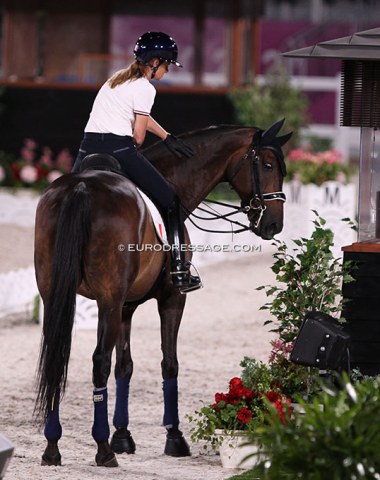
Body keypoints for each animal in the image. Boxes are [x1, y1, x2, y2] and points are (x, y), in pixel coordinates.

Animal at [34, 118, 292, 466]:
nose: (274, 224)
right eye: (266, 165)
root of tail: (81, 188)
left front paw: (122, 436)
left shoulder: (125, 307)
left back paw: (53, 447)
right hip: (107, 300)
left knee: (57, 355)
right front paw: (174, 437)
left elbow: (125, 366)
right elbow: (169, 363)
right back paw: (102, 450)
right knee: (98, 361)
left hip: (58, 296)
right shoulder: (171, 299)